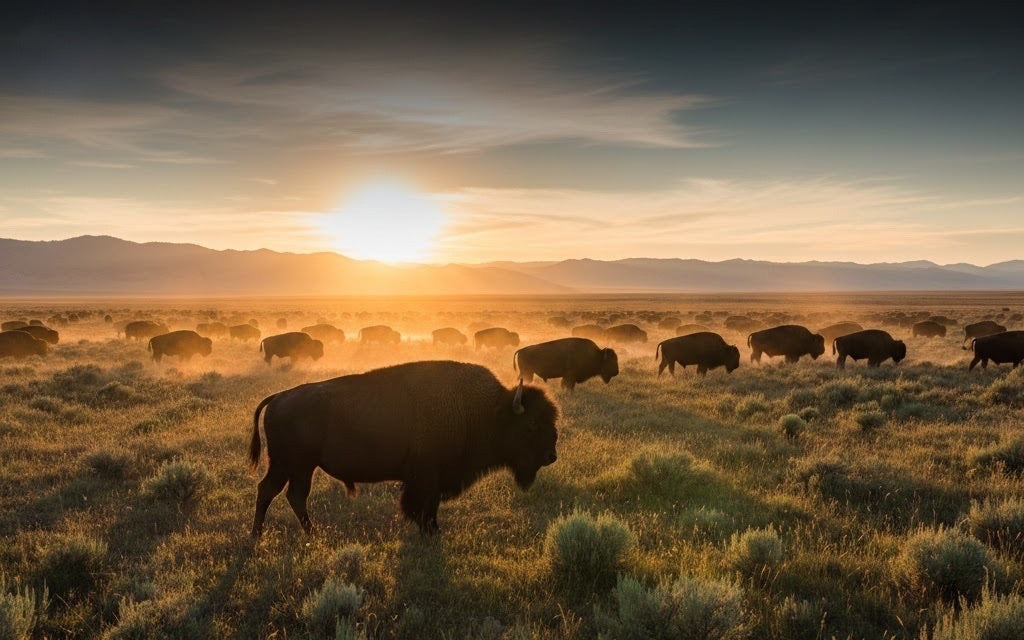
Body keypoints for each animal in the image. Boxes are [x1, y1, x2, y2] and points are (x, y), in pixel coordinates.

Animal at [249, 361, 559, 536]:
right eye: (532, 425)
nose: (551, 455)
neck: (487, 411)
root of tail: (278, 397)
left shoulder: (434, 479)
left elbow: (430, 505)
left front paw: (433, 530)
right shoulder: (427, 477)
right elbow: (422, 505)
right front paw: (430, 532)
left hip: (298, 467)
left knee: (289, 495)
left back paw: (302, 534)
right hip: (291, 465)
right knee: (274, 492)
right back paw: (263, 535)